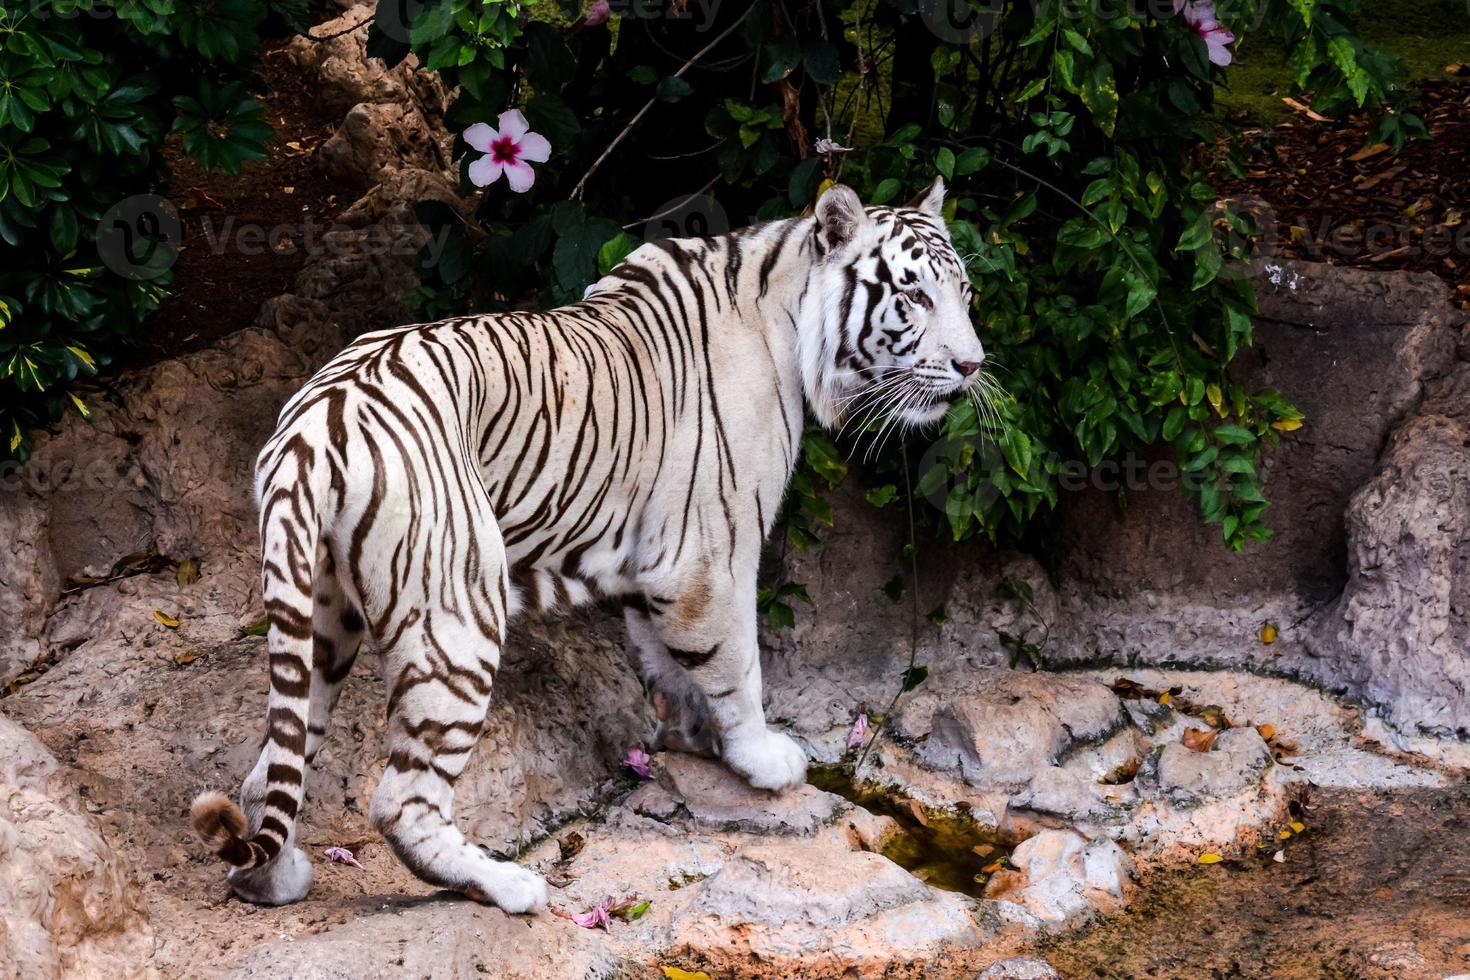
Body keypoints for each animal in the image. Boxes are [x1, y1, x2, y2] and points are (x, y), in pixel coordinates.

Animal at [186, 178, 987, 910]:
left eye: (966, 292)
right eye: (914, 297)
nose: (973, 366)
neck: (791, 320)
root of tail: (312, 424)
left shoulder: (654, 561)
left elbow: (666, 662)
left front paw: (690, 737)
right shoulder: (711, 555)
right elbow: (737, 664)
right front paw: (762, 760)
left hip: (322, 615)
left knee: (269, 769)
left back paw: (273, 881)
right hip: (457, 617)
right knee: (400, 801)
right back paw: (508, 886)